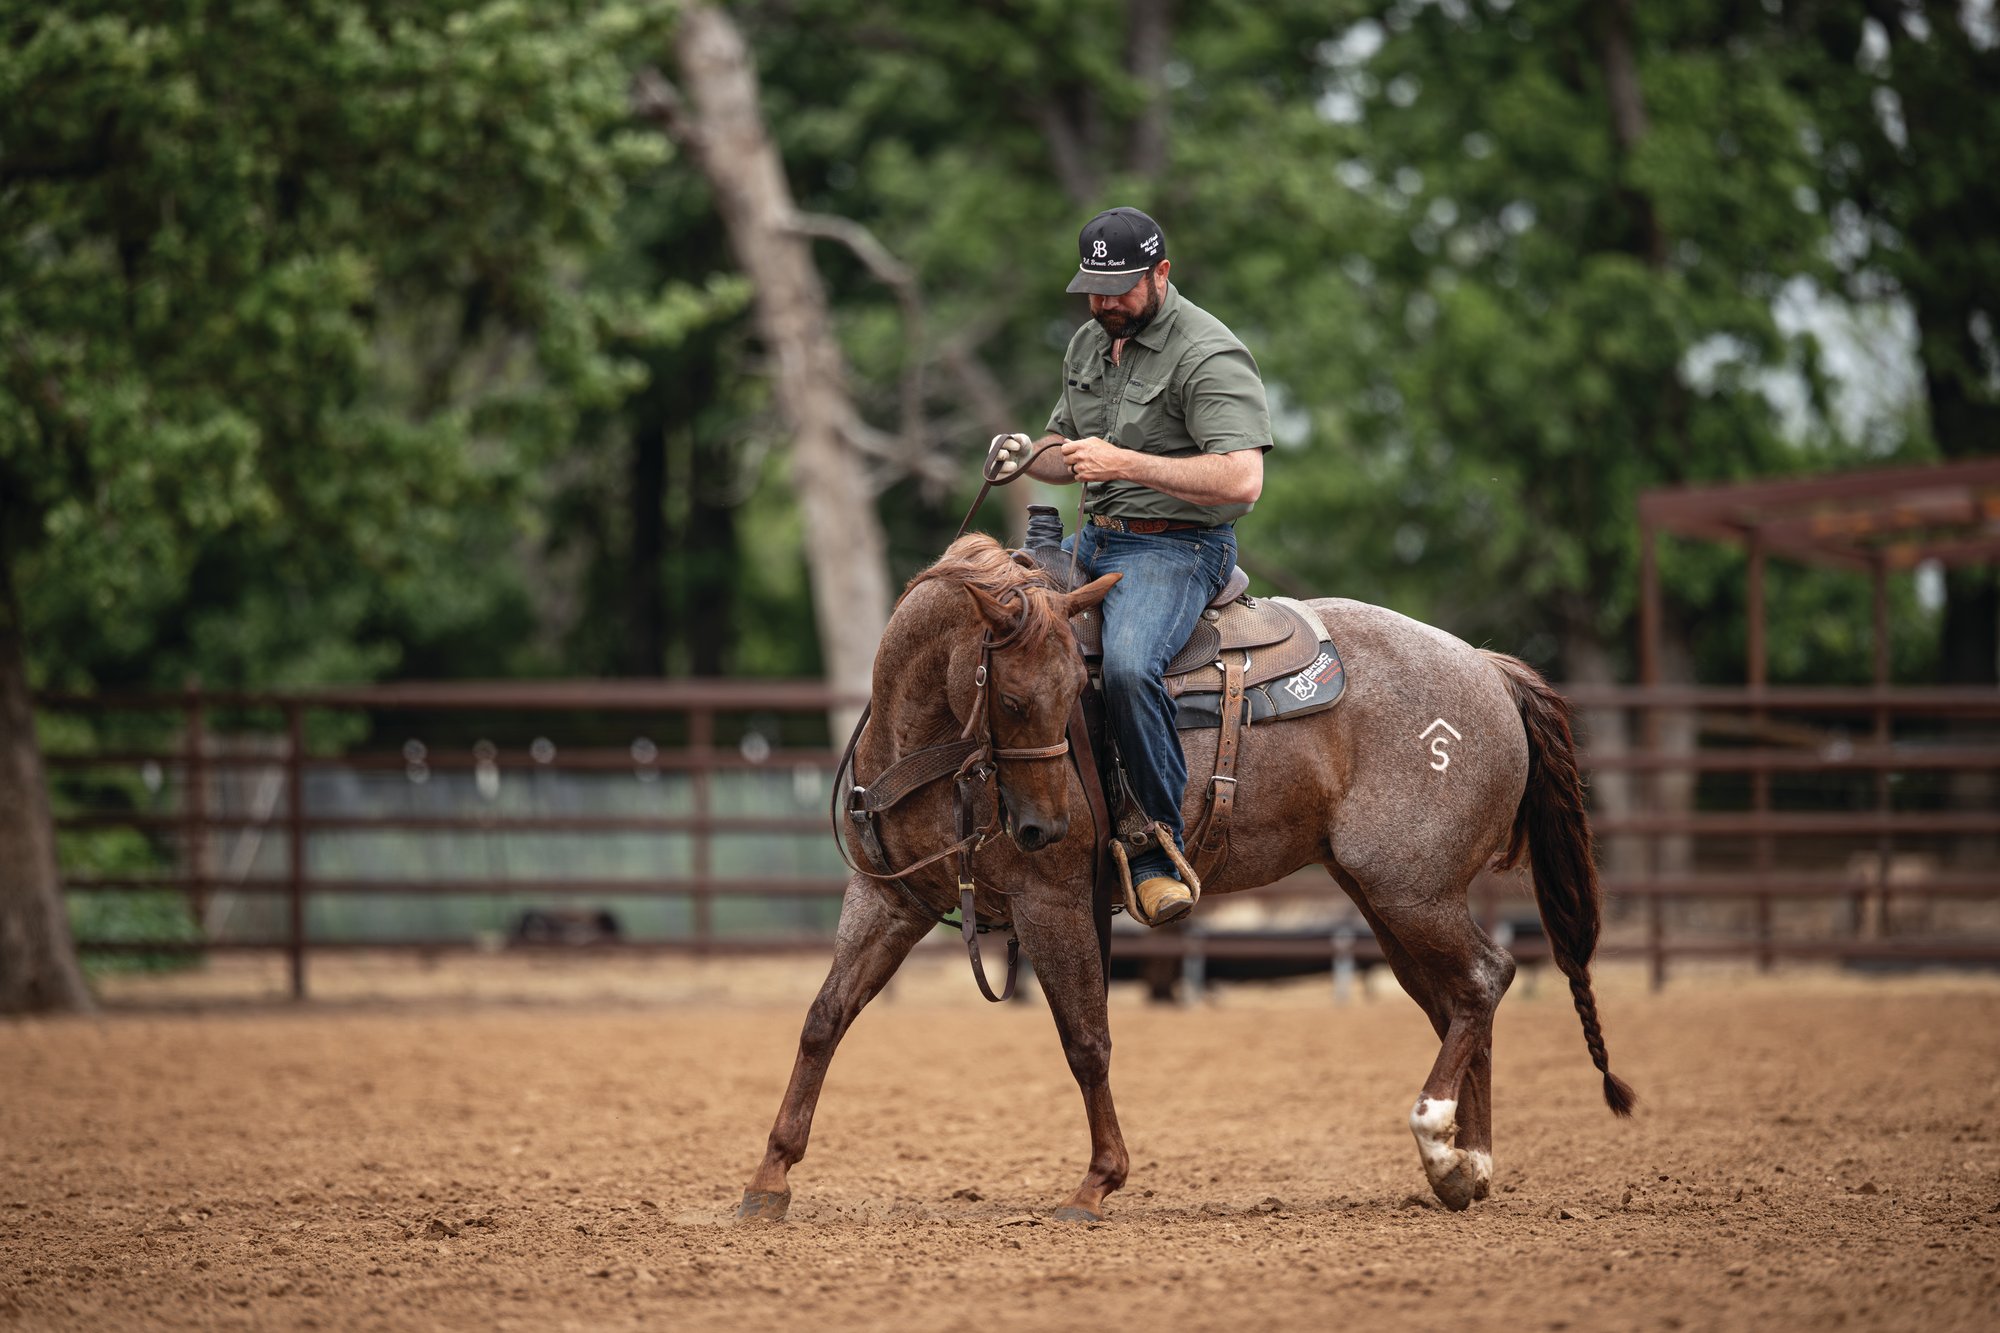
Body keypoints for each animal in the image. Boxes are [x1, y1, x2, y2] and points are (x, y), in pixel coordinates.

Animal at [737, 533, 1634, 1223]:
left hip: (1413, 889)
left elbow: (1087, 1038)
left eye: (1074, 691)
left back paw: (1440, 1140)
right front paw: (768, 1178)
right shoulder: (888, 897)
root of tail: (1488, 668)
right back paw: (1464, 1166)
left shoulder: (1049, 899)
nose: (1043, 827)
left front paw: (1097, 1184)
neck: (929, 742)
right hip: (1390, 898)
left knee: (1485, 977)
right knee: (1457, 1000)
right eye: (1017, 698)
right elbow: (824, 1019)